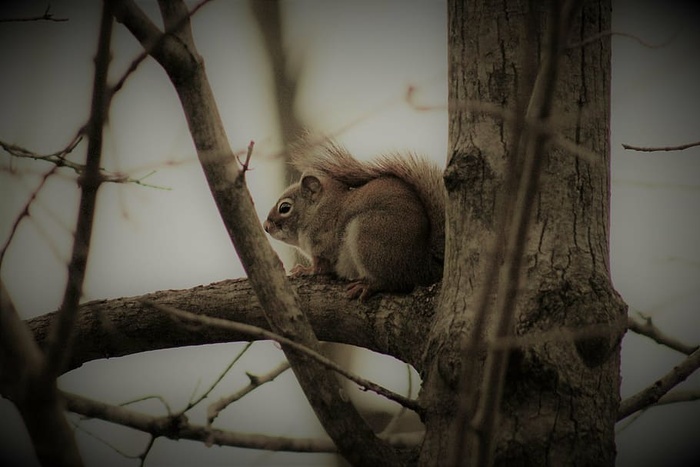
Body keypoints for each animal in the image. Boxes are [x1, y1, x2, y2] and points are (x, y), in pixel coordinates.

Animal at [262, 142, 442, 300]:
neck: (318, 211)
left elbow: (320, 268)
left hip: (370, 236)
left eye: (285, 208)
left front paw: (305, 270)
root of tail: (424, 264)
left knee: (397, 281)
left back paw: (369, 285)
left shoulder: (324, 245)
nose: (265, 226)